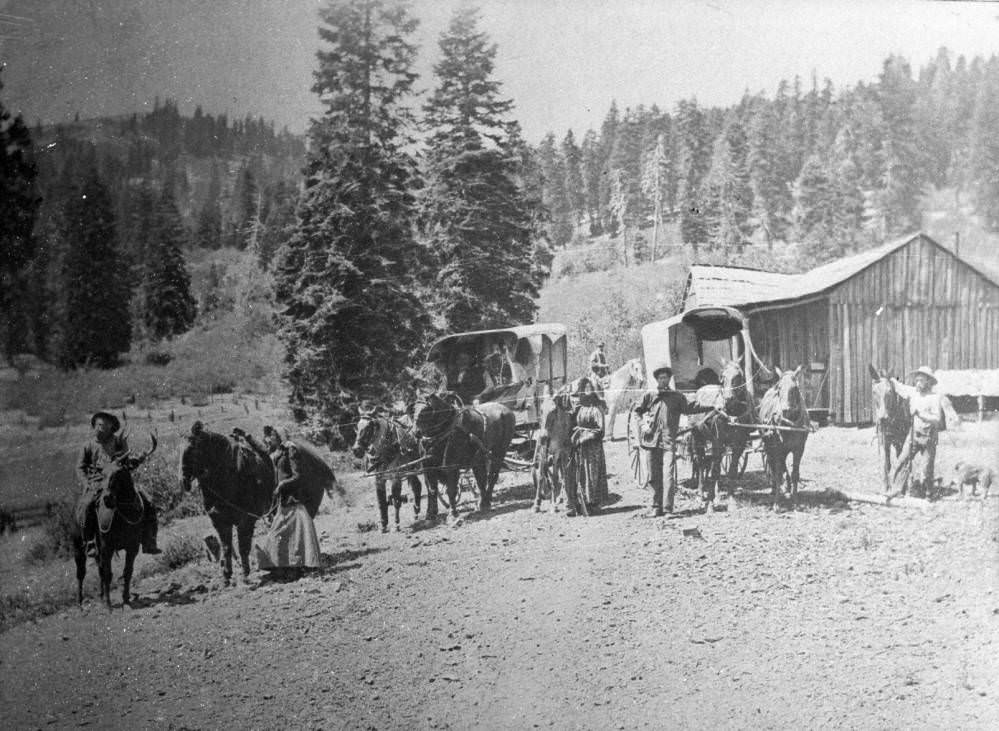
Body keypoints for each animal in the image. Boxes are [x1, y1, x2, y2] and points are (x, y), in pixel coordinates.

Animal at [73, 438, 158, 608]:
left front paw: (125, 598)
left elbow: (127, 571)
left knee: (99, 569)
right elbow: (108, 574)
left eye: (119, 473)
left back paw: (100, 595)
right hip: (78, 547)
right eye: (103, 474)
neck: (124, 514)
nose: (107, 499)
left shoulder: (132, 547)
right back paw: (80, 602)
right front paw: (108, 604)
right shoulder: (107, 547)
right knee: (81, 572)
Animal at [180, 420, 274, 588]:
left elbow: (243, 547)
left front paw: (245, 574)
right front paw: (227, 576)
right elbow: (227, 548)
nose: (184, 481)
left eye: (192, 449)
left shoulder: (246, 521)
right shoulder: (220, 522)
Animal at [532, 388, 580, 516]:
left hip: (565, 453)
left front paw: (555, 506)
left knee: (565, 473)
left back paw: (566, 499)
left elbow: (556, 477)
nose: (543, 437)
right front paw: (536, 504)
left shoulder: (559, 452)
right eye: (541, 409)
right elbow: (541, 476)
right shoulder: (543, 451)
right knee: (560, 473)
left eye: (554, 411)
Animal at [760, 366, 808, 508]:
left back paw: (787, 487)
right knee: (772, 466)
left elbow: (795, 474)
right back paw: (774, 488)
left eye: (795, 388)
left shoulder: (799, 449)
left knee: (782, 465)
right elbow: (777, 474)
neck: (789, 424)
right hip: (768, 446)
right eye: (779, 388)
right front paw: (777, 503)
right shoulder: (777, 448)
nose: (786, 410)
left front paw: (795, 501)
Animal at [868, 364, 916, 494]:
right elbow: (886, 464)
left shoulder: (903, 439)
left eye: (889, 391)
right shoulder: (883, 439)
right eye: (874, 392)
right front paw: (886, 488)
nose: (883, 418)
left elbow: (901, 462)